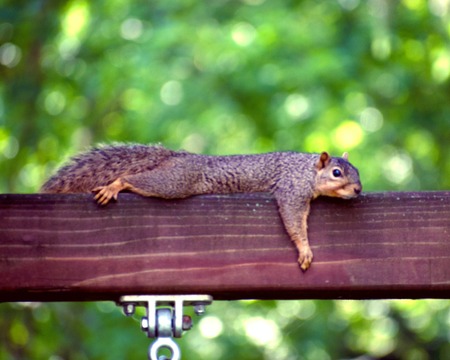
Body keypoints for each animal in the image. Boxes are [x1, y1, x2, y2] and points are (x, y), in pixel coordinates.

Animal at [39, 143, 362, 270]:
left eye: (357, 171)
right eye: (337, 172)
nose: (358, 189)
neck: (308, 171)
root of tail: (178, 156)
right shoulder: (292, 191)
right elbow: (294, 220)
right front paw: (304, 248)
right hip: (175, 181)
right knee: (135, 180)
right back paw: (115, 185)